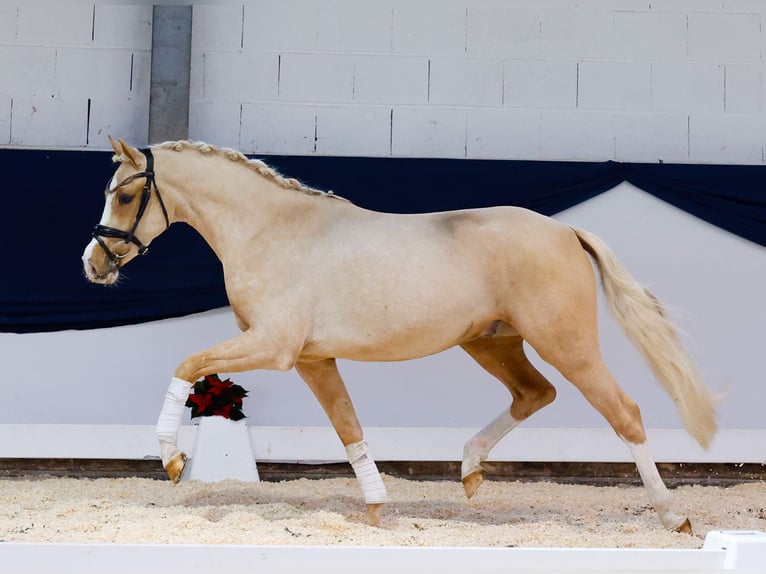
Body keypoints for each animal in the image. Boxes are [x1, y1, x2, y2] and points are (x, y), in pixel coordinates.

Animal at [84, 138, 720, 536]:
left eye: (124, 195)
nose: (94, 264)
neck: (272, 231)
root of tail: (565, 230)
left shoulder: (275, 348)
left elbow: (187, 365)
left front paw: (171, 460)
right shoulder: (314, 359)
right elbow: (348, 428)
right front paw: (376, 509)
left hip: (566, 343)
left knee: (624, 413)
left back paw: (674, 518)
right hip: (492, 342)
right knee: (534, 394)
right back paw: (469, 471)